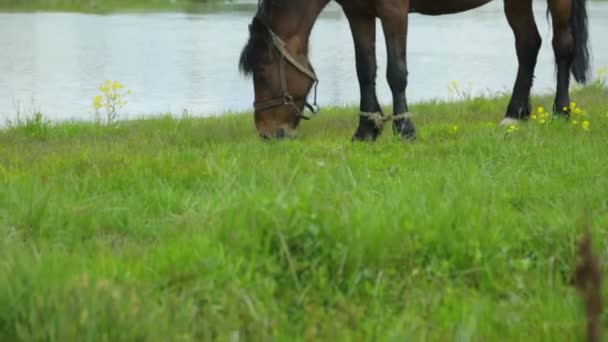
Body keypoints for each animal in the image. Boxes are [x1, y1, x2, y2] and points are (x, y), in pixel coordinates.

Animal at [239, 0, 588, 140]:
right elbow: (365, 69)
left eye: (263, 71)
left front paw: (405, 129)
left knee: (561, 46)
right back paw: (515, 113)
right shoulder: (358, 13)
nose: (267, 133)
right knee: (528, 45)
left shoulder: (393, 11)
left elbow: (396, 71)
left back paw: (561, 110)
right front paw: (366, 130)